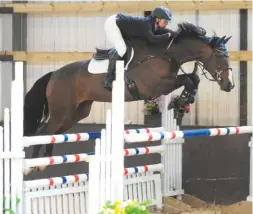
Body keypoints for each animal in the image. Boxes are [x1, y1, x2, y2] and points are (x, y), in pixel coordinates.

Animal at [24, 22, 235, 174]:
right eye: (220, 57)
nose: (229, 85)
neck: (165, 54)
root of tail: (54, 74)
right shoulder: (153, 88)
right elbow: (188, 79)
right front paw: (181, 101)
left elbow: (193, 79)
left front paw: (183, 101)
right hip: (62, 111)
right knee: (43, 131)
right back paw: (32, 164)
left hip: (76, 113)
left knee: (54, 133)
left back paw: (44, 162)